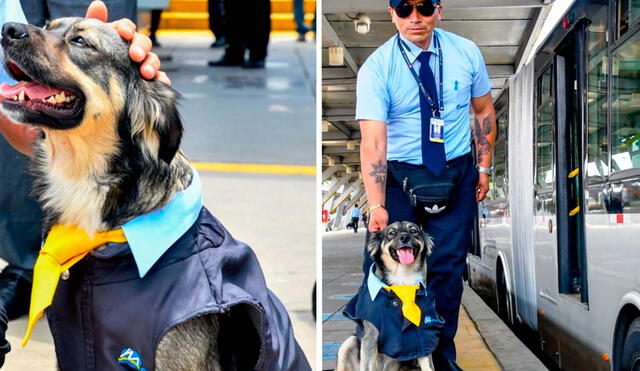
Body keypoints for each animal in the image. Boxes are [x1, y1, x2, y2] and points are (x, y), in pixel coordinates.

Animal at [336, 222, 440, 371]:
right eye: (391, 233)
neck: (403, 280)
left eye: (413, 231)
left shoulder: (422, 336)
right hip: (349, 343)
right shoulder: (370, 334)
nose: (404, 237)